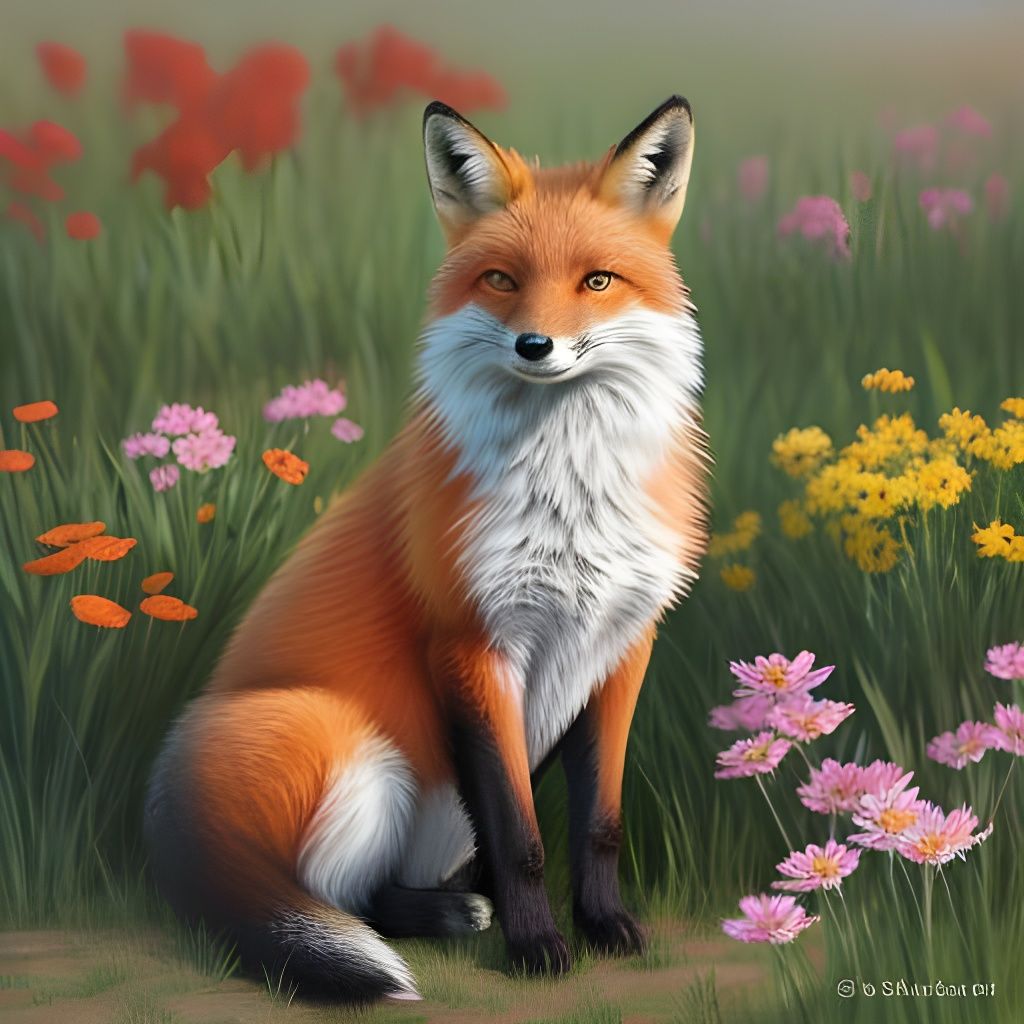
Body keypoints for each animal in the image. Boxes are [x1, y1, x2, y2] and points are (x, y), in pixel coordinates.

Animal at [145, 95, 708, 1002]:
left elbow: (598, 824)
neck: (570, 495)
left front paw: (605, 927)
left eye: (596, 281)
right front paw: (536, 946)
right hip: (357, 750)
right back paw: (444, 918)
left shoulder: (622, 647)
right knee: (343, 897)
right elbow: (519, 835)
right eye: (503, 280)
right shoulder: (474, 643)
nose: (535, 346)